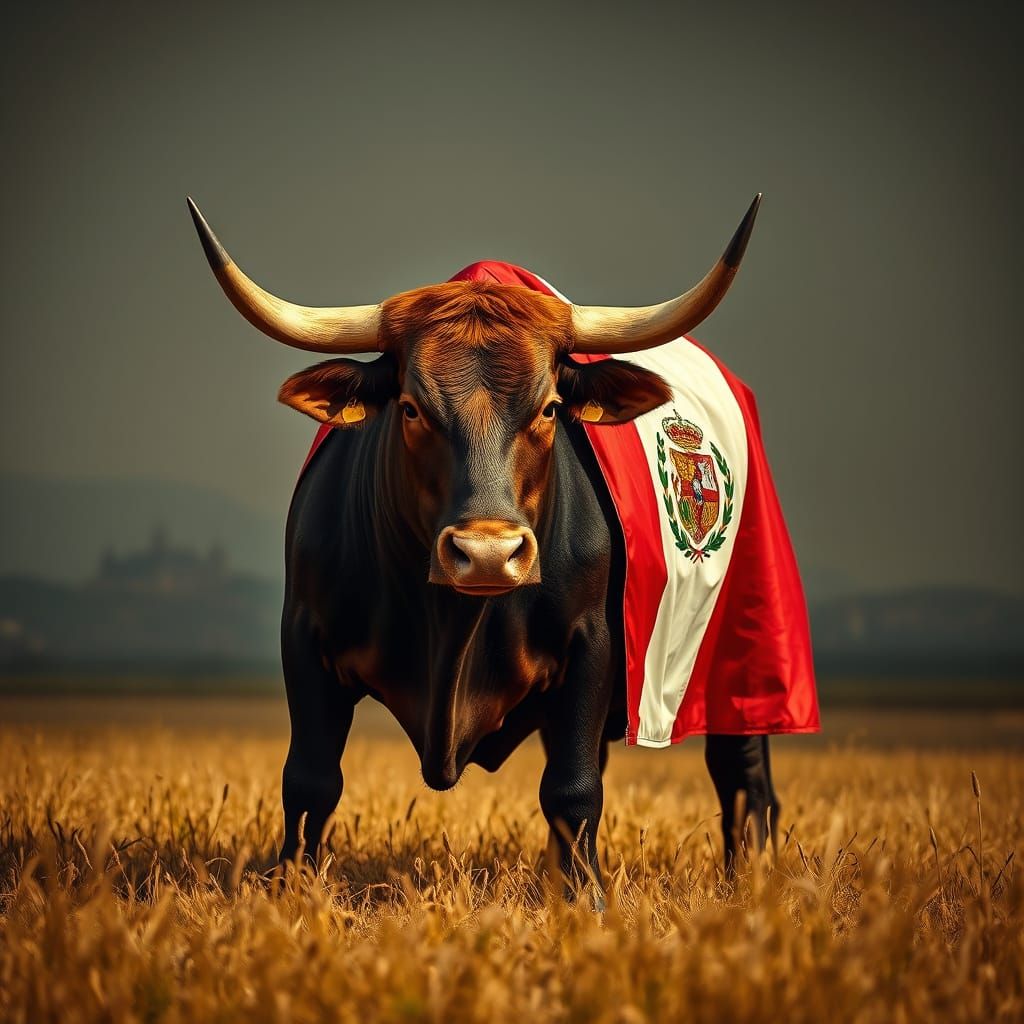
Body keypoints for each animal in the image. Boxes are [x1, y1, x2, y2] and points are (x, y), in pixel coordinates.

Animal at [187, 195, 784, 900]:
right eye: (410, 408)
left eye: (550, 408)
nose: (489, 554)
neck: (452, 627)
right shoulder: (304, 640)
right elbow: (310, 781)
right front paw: (292, 893)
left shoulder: (592, 646)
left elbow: (574, 788)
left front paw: (589, 903)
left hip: (742, 663)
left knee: (743, 777)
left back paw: (751, 884)